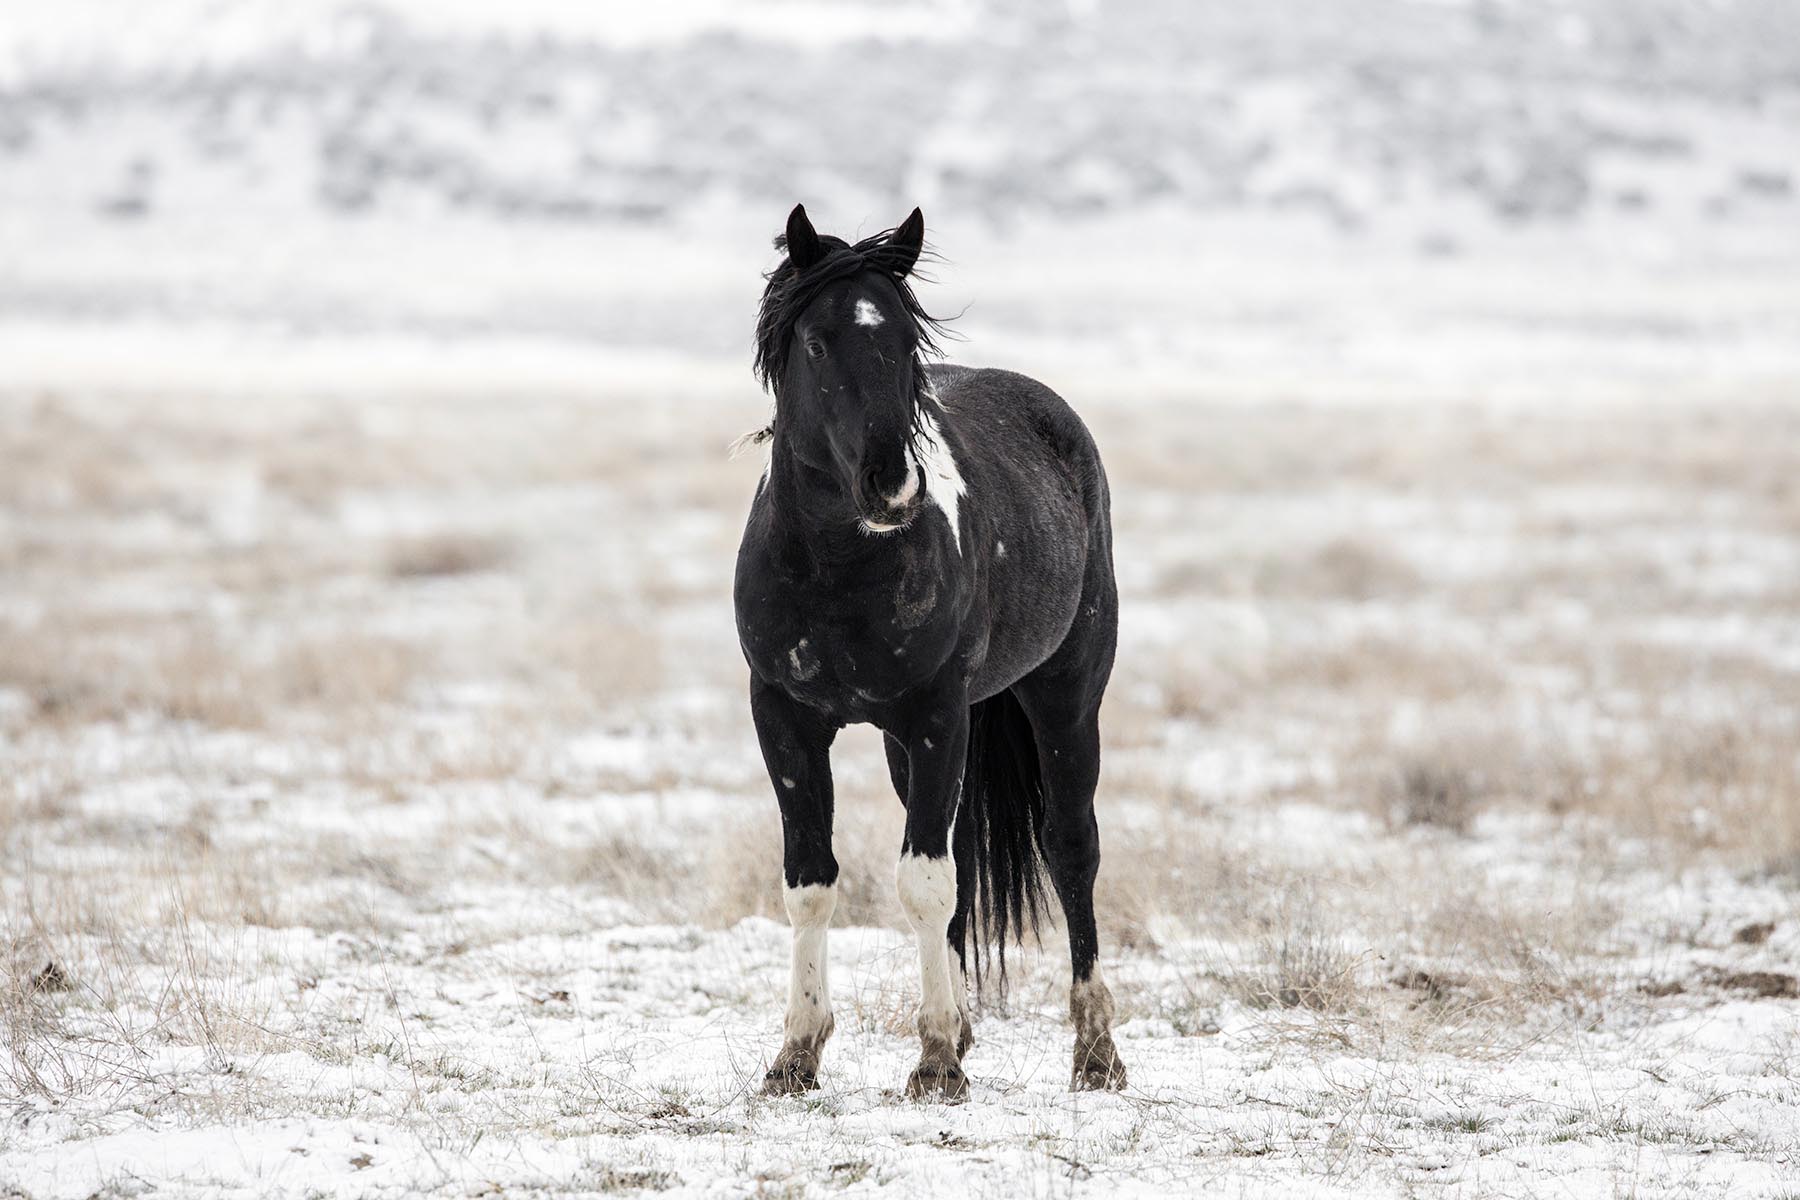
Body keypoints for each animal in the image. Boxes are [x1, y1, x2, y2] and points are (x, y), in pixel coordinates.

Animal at [732, 204, 1126, 1101]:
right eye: (817, 342)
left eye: (907, 343)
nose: (893, 486)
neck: (840, 568)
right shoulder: (786, 718)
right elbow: (810, 883)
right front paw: (797, 1054)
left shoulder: (940, 714)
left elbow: (924, 880)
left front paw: (937, 1061)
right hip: (901, 743)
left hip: (1066, 698)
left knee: (1072, 851)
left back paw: (1095, 1052)